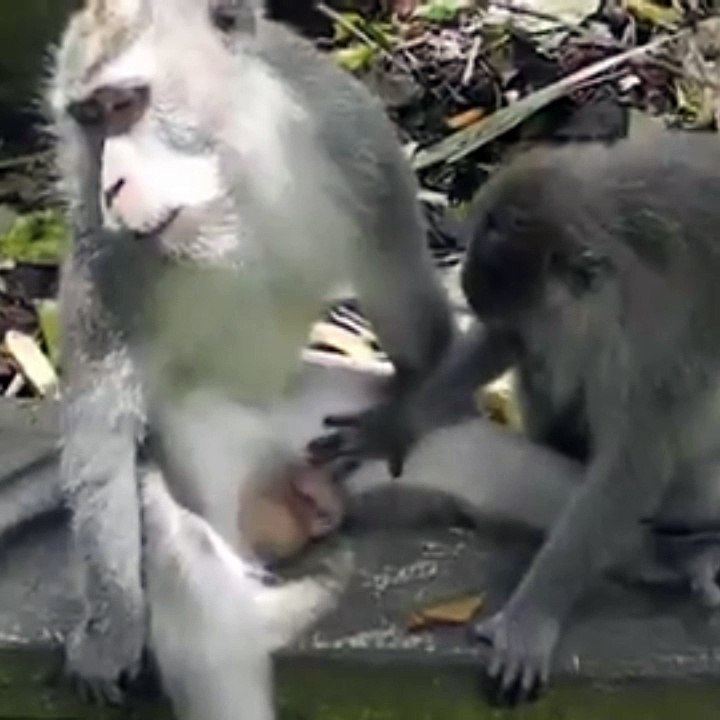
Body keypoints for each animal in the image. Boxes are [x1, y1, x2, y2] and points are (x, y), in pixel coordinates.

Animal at [47, 0, 453, 703]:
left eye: (125, 104)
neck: (230, 188)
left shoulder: (356, 138)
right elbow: (103, 433)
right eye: (90, 119)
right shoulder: (102, 243)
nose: (111, 184)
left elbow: (416, 331)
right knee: (182, 546)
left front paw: (396, 418)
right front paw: (112, 628)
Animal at [308, 129, 720, 704]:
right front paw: (392, 427)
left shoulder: (651, 343)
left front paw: (532, 614)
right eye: (512, 325)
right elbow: (510, 349)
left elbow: (632, 467)